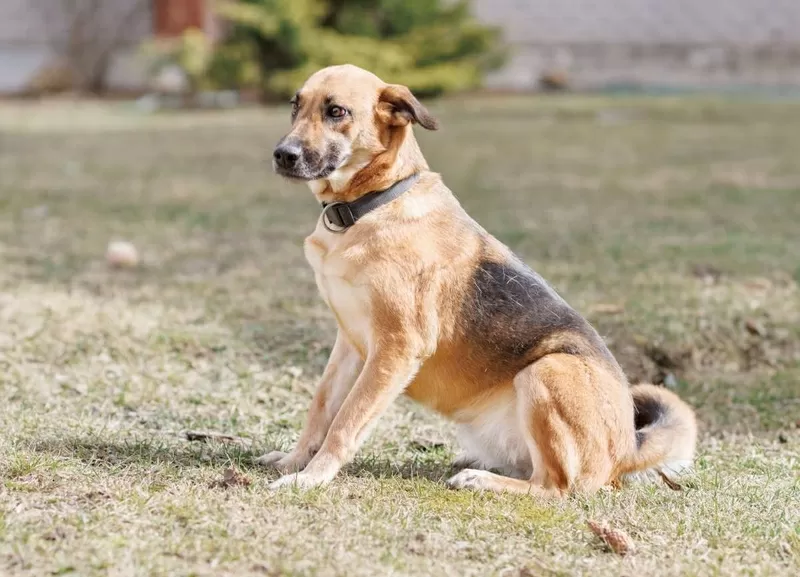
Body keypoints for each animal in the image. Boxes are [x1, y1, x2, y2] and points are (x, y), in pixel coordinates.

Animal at [260, 64, 696, 496]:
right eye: (295, 106)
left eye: (337, 112)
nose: (282, 155)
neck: (370, 205)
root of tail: (627, 448)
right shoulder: (350, 343)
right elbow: (321, 408)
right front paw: (294, 461)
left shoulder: (396, 347)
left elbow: (346, 421)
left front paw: (312, 476)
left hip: (547, 370)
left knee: (554, 486)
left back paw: (482, 480)